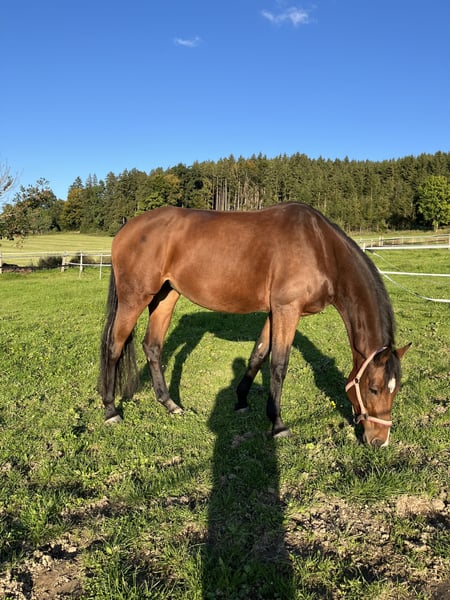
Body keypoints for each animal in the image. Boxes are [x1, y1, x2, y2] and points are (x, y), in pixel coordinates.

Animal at [98, 202, 409, 447]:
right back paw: (111, 410)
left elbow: (258, 355)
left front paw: (241, 401)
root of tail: (125, 230)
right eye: (373, 388)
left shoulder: (275, 312)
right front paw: (278, 425)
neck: (320, 248)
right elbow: (279, 365)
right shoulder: (287, 310)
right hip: (135, 298)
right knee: (114, 346)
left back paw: (169, 404)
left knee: (152, 346)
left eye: (396, 389)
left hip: (166, 296)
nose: (379, 440)